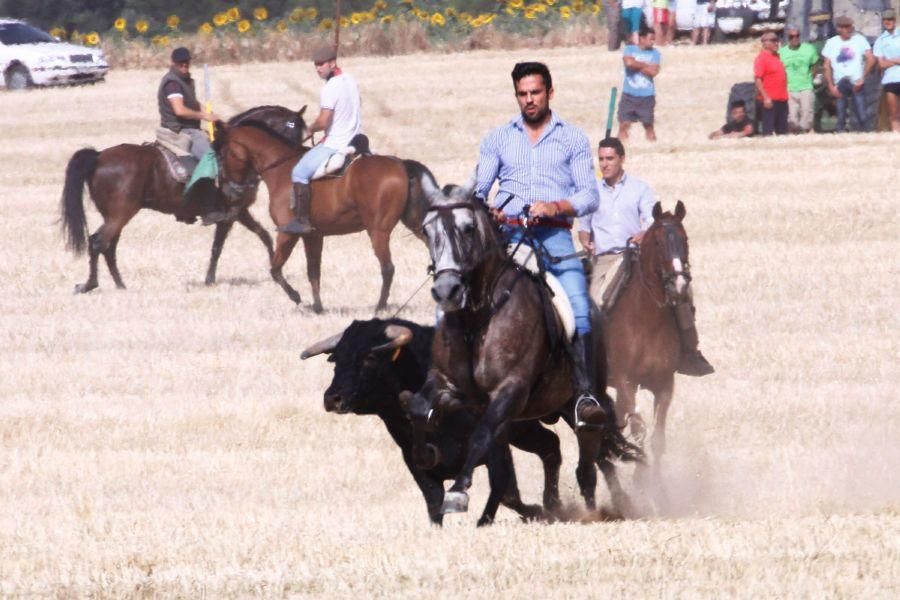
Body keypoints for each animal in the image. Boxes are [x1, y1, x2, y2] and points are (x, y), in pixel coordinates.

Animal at [59, 108, 308, 296]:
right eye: (292, 129)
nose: (295, 158)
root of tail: (99, 156)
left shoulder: (240, 212)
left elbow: (262, 236)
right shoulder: (231, 212)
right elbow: (219, 246)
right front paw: (210, 279)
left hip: (115, 216)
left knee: (109, 247)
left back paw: (120, 285)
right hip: (120, 215)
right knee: (98, 242)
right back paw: (89, 285)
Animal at [211, 120, 428, 312]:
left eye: (223, 153)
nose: (229, 192)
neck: (280, 168)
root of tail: (400, 164)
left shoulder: (287, 234)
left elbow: (275, 269)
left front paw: (297, 297)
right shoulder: (313, 236)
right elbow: (313, 271)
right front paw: (317, 307)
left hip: (378, 232)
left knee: (387, 268)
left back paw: (380, 307)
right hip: (415, 225)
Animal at [306, 318, 568, 524]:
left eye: (370, 356)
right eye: (336, 358)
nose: (332, 398)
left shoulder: (496, 445)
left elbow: (505, 490)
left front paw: (534, 512)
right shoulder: (414, 460)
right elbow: (434, 501)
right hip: (525, 430)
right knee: (550, 445)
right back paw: (554, 504)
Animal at [408, 184, 640, 524]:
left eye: (468, 228)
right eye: (427, 230)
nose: (447, 290)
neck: (478, 318)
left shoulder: (510, 390)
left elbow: (480, 435)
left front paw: (458, 492)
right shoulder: (450, 385)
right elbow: (418, 409)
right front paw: (426, 454)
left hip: (583, 401)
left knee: (590, 452)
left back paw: (598, 508)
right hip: (558, 406)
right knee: (581, 453)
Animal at [600, 199, 692, 494]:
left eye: (685, 239)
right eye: (659, 242)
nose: (679, 284)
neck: (646, 320)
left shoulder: (664, 384)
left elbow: (657, 438)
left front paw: (656, 487)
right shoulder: (626, 381)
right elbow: (639, 430)